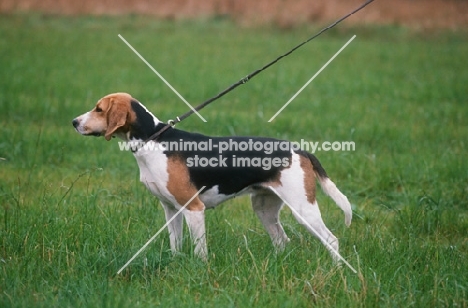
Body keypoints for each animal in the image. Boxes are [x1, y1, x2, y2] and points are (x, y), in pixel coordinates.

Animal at [72, 92, 352, 262]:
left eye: (99, 109)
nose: (74, 122)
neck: (154, 139)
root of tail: (299, 149)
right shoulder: (170, 209)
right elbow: (175, 243)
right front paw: (175, 264)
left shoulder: (194, 208)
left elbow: (199, 249)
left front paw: (199, 269)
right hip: (264, 209)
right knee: (282, 240)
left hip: (303, 209)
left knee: (332, 240)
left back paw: (336, 270)